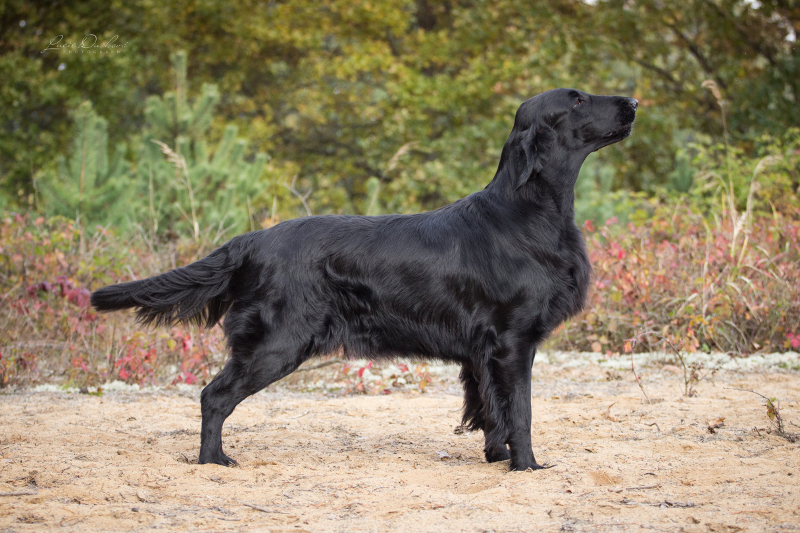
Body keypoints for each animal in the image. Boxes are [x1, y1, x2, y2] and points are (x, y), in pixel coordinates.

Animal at [90, 87, 636, 470]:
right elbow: (520, 413)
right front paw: (527, 468)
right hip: (278, 343)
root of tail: (252, 239)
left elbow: (490, 414)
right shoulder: (512, 341)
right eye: (577, 99)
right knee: (214, 397)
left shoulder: (482, 353)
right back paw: (214, 461)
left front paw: (496, 459)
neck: (528, 211)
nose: (633, 101)